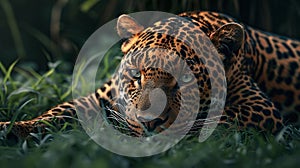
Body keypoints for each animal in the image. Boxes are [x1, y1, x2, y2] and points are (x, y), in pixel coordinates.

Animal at [0, 11, 300, 138]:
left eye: (187, 81)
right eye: (135, 75)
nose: (149, 122)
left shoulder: (260, 109)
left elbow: (205, 120)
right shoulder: (100, 97)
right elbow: (57, 112)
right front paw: (13, 129)